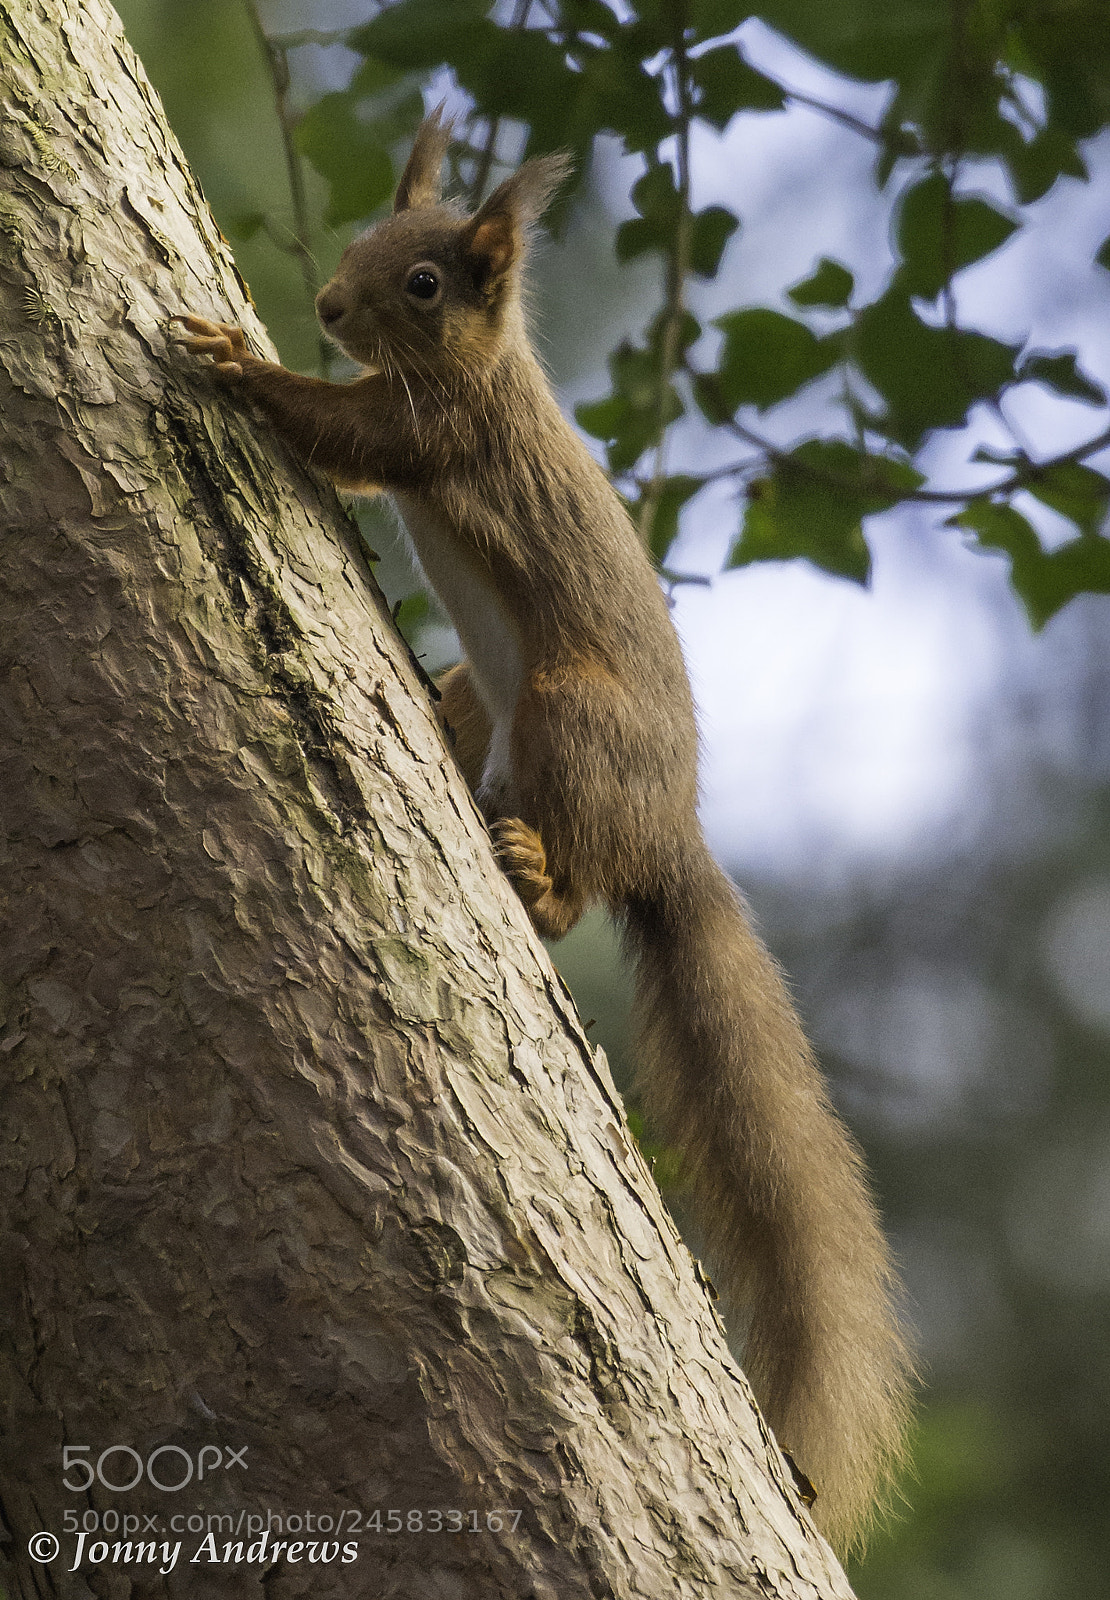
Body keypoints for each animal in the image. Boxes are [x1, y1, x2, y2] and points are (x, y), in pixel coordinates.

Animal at [179, 109, 913, 1552]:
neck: (489, 362)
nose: (330, 304)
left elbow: (349, 438)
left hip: (573, 715)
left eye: (427, 282)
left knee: (578, 882)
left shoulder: (442, 431)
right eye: (366, 239)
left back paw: (536, 869)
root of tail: (671, 833)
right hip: (495, 690)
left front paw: (240, 359)